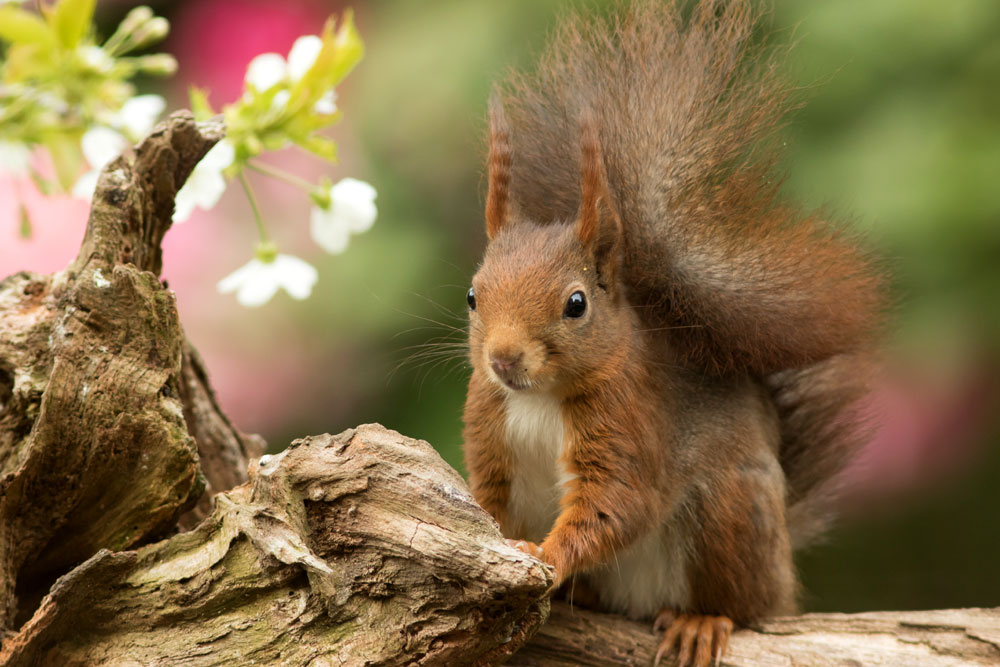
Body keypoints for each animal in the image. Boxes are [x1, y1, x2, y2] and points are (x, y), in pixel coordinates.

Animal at [460, 2, 884, 664]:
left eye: (576, 304)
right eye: (473, 296)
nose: (503, 359)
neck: (537, 400)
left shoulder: (630, 425)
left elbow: (615, 507)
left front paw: (546, 555)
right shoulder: (489, 429)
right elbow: (488, 502)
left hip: (728, 517)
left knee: (742, 605)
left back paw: (701, 621)